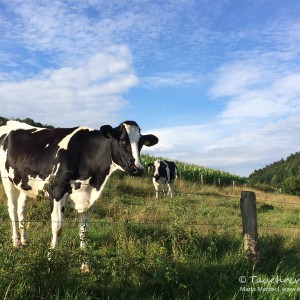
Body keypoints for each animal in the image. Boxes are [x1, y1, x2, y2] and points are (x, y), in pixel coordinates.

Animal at [0, 120, 158, 270]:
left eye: (141, 143)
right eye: (122, 141)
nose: (138, 169)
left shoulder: (89, 200)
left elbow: (84, 231)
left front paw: (85, 264)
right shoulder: (57, 191)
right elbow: (58, 228)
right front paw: (50, 260)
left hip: (24, 183)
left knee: (21, 207)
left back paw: (24, 240)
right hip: (7, 179)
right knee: (12, 208)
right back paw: (16, 242)